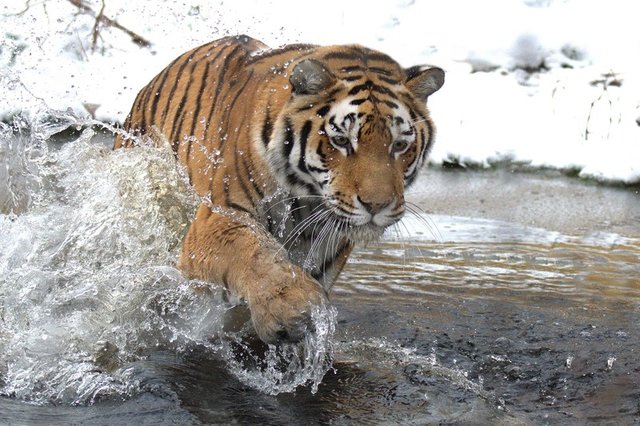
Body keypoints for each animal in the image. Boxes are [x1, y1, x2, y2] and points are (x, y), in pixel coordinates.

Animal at [114, 34, 444, 344]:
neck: (307, 204)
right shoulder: (218, 218)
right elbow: (256, 252)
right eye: (341, 140)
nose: (377, 205)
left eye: (400, 145)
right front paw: (291, 305)